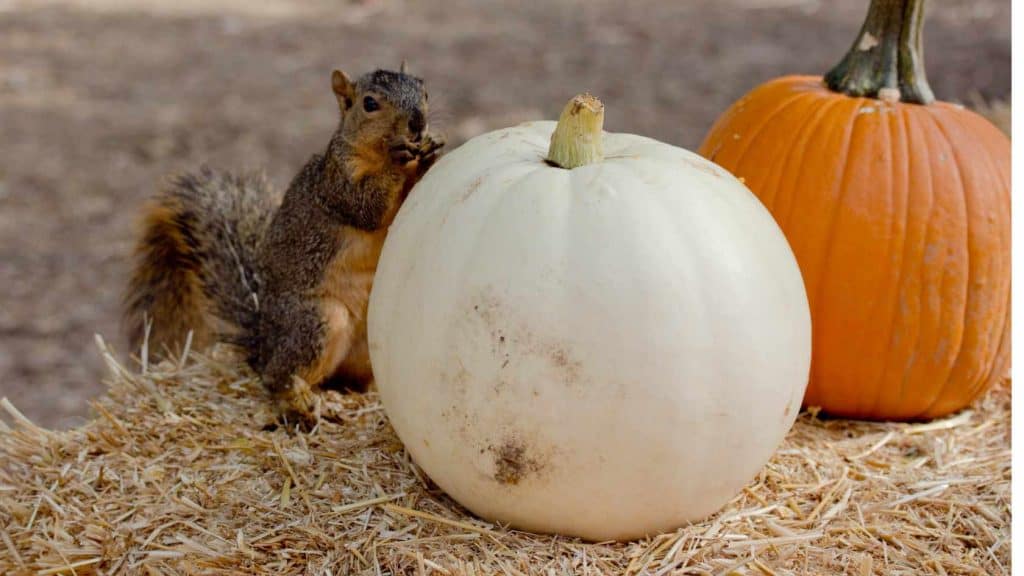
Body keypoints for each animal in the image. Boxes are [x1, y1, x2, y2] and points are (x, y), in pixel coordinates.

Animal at [124, 68, 444, 424]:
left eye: (424, 91)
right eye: (370, 103)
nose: (418, 123)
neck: (369, 150)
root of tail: (264, 342)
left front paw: (431, 151)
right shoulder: (336, 183)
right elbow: (367, 206)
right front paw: (399, 159)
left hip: (365, 348)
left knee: (342, 379)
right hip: (315, 321)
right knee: (278, 376)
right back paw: (299, 402)